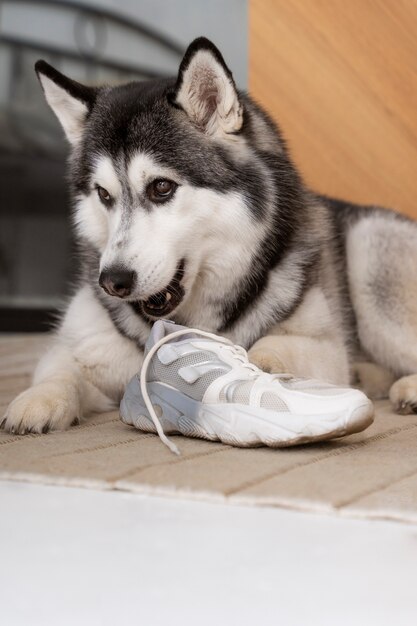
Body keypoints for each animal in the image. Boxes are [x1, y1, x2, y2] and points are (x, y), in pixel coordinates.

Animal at [2, 39, 416, 434]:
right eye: (104, 194)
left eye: (161, 187)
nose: (113, 281)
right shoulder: (87, 344)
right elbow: (63, 370)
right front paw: (39, 399)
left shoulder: (324, 347)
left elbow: (270, 349)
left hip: (370, 253)